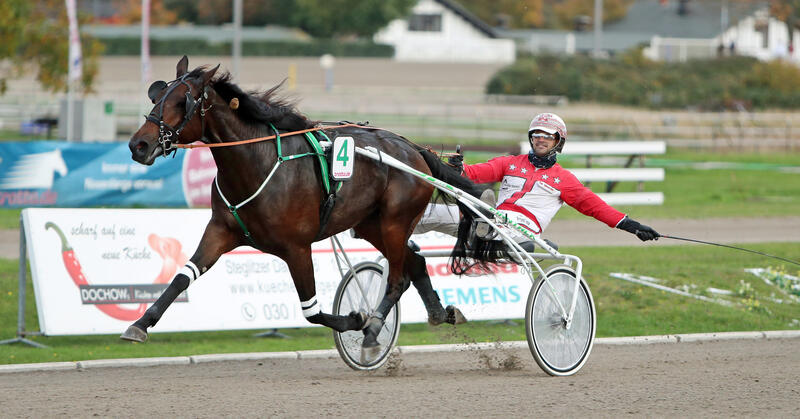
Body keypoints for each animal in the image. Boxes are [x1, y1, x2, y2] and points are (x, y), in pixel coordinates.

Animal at [118, 56, 482, 358]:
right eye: (157, 96)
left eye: (183, 102)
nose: (139, 145)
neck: (257, 163)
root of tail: (414, 150)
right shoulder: (221, 231)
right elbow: (183, 277)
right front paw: (140, 324)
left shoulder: (297, 247)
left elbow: (311, 310)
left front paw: (356, 319)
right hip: (370, 224)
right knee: (414, 263)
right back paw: (440, 312)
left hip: (395, 221)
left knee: (396, 278)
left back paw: (373, 331)